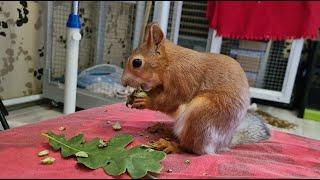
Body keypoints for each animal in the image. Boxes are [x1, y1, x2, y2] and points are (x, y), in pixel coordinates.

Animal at [121, 22, 268, 155]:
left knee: (191, 147)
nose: (123, 82)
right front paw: (131, 96)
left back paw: (171, 145)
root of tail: (223, 143)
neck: (169, 63)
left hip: (200, 115)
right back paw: (164, 129)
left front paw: (146, 101)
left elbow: (168, 101)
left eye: (137, 62)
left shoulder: (182, 81)